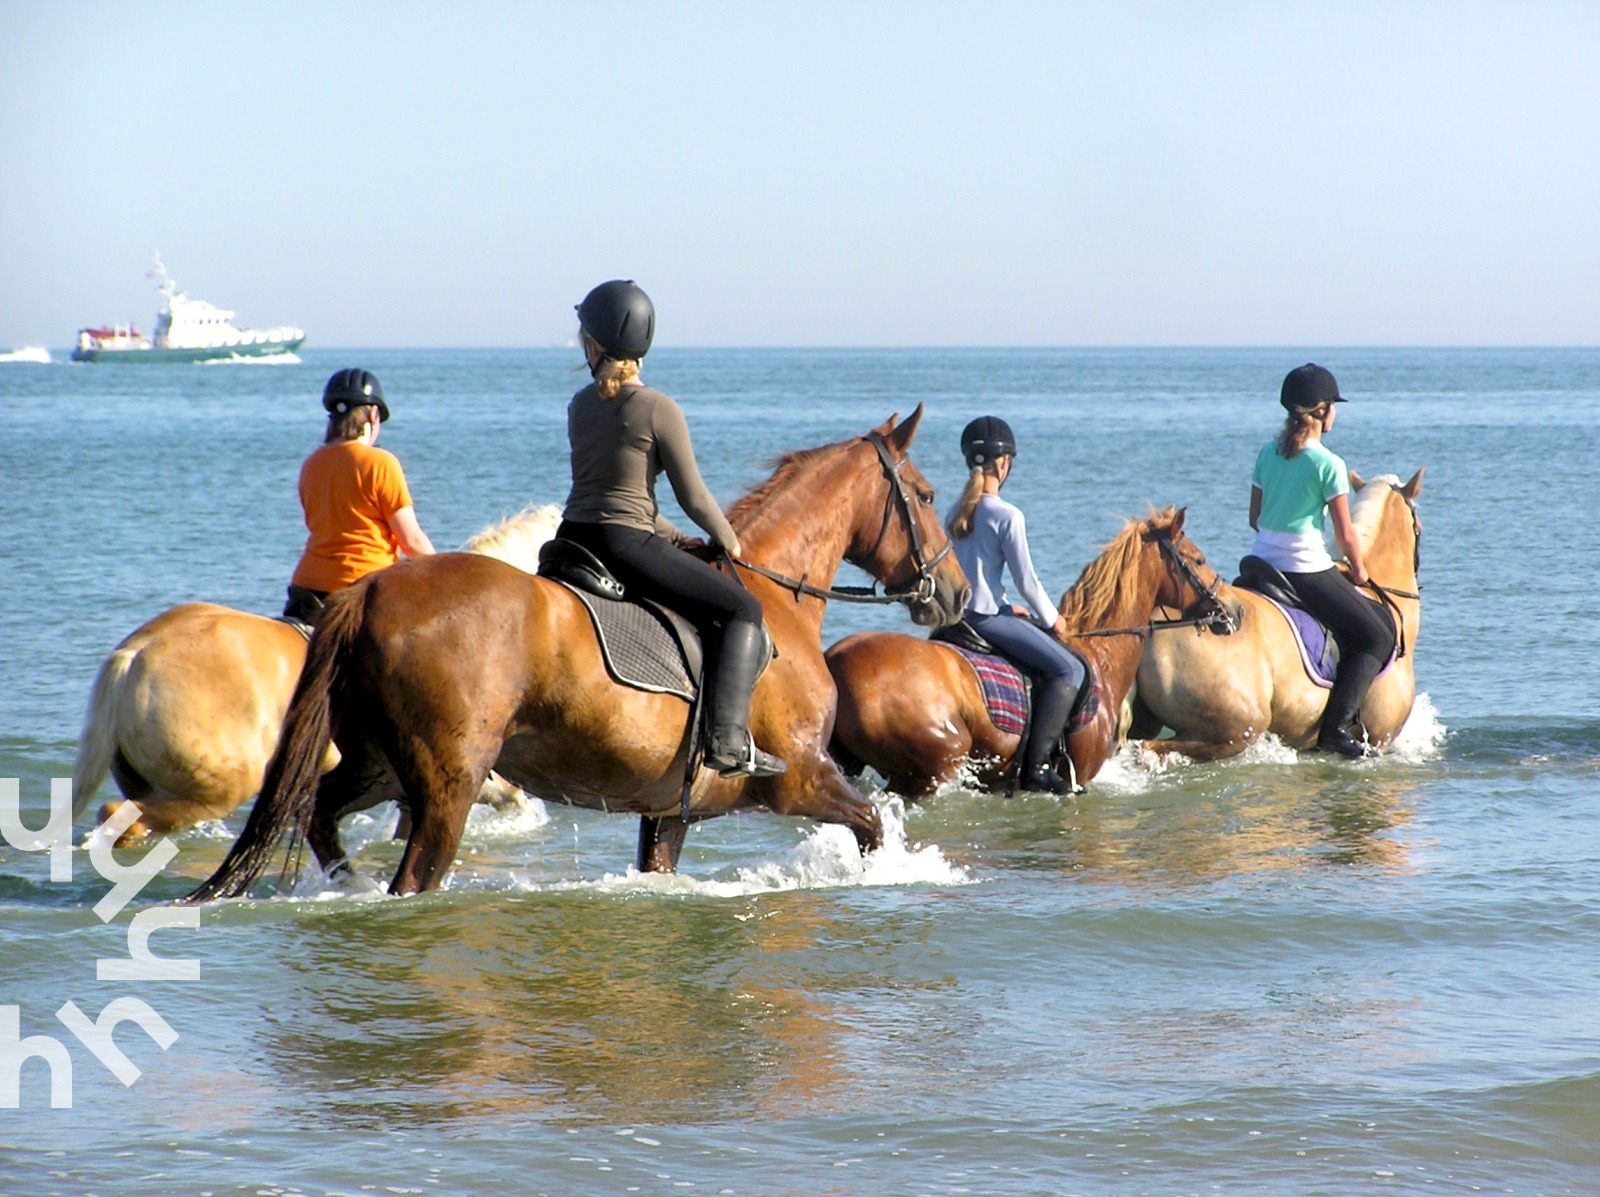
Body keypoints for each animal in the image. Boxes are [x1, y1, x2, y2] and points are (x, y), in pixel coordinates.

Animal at [825, 508, 1222, 800]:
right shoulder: (1080, 776)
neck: (1099, 652)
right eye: (1199, 560)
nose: (1228, 612)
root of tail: (835, 659)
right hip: (927, 771)